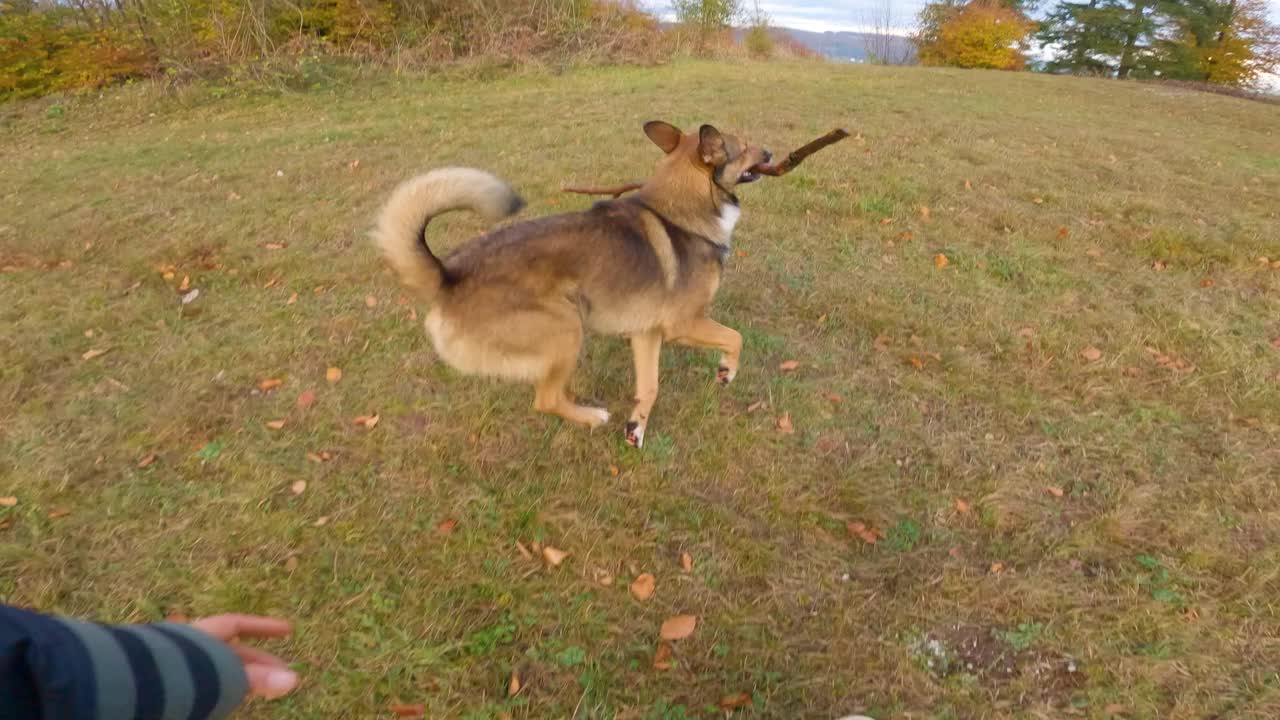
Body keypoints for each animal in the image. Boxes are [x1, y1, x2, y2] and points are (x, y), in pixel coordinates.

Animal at [371, 121, 768, 445]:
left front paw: (635, 429)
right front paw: (726, 372)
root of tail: (448, 277)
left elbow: (649, 387)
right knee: (546, 399)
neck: (684, 206)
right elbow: (735, 338)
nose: (769, 153)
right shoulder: (684, 324)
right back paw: (592, 417)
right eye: (745, 146)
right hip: (567, 328)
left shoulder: (647, 333)